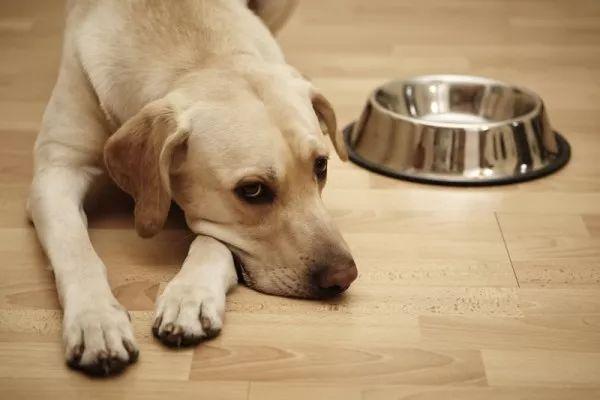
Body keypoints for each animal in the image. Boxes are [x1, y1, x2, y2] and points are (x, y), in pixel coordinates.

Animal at [28, 0, 356, 376]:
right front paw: (96, 321)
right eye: (253, 191)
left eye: (321, 166)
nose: (344, 276)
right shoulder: (56, 170)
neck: (199, 55)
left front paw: (190, 296)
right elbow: (75, 250)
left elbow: (213, 242)